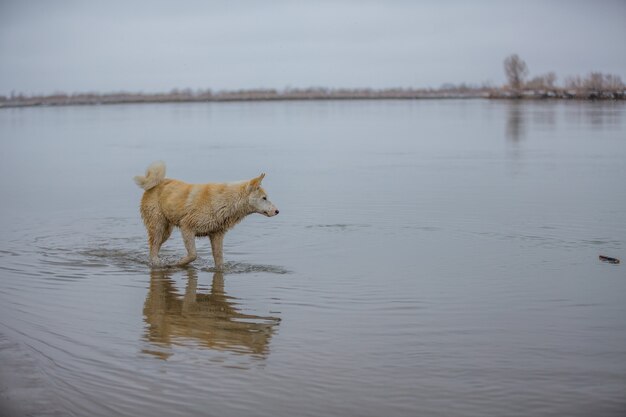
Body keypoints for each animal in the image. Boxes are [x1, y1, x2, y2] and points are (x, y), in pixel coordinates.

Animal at [134, 161, 278, 268]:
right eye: (264, 198)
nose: (277, 211)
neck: (227, 202)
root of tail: (155, 183)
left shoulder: (216, 235)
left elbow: (219, 260)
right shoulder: (187, 227)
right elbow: (193, 255)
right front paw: (179, 263)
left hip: (166, 231)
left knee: (154, 246)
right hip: (158, 226)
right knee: (153, 247)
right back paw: (157, 263)